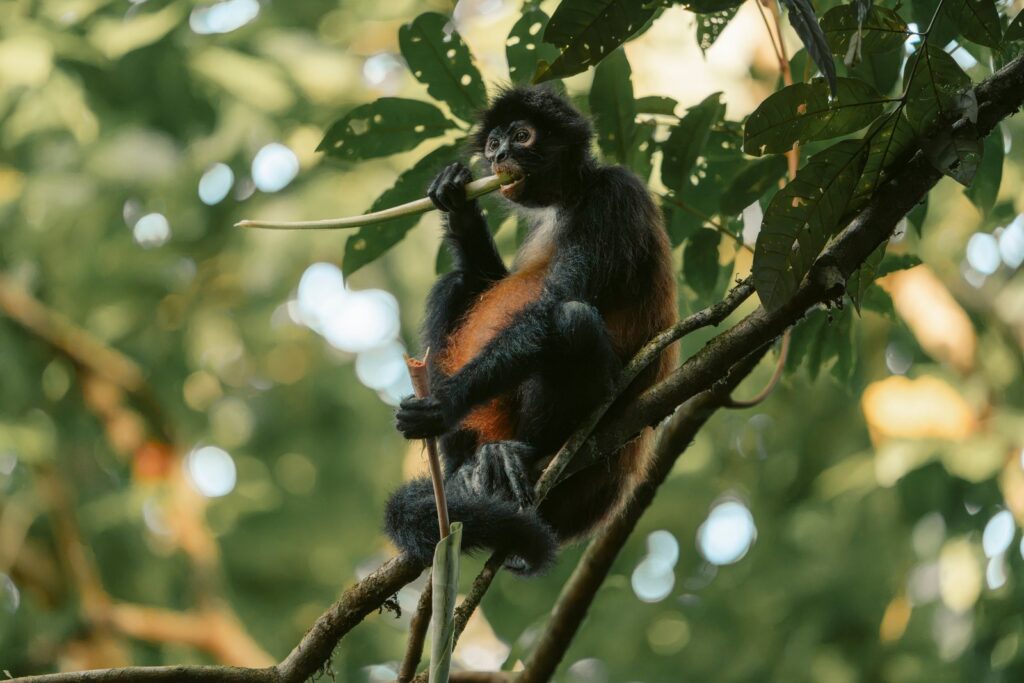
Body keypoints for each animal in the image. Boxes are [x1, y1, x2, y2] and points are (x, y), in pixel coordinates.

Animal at [384, 86, 677, 575]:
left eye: (522, 136)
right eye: (493, 144)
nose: (500, 154)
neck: (568, 199)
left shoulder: (615, 193)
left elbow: (555, 302)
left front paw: (443, 403)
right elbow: (487, 279)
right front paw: (460, 205)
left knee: (573, 321)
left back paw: (523, 453)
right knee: (457, 283)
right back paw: (463, 468)